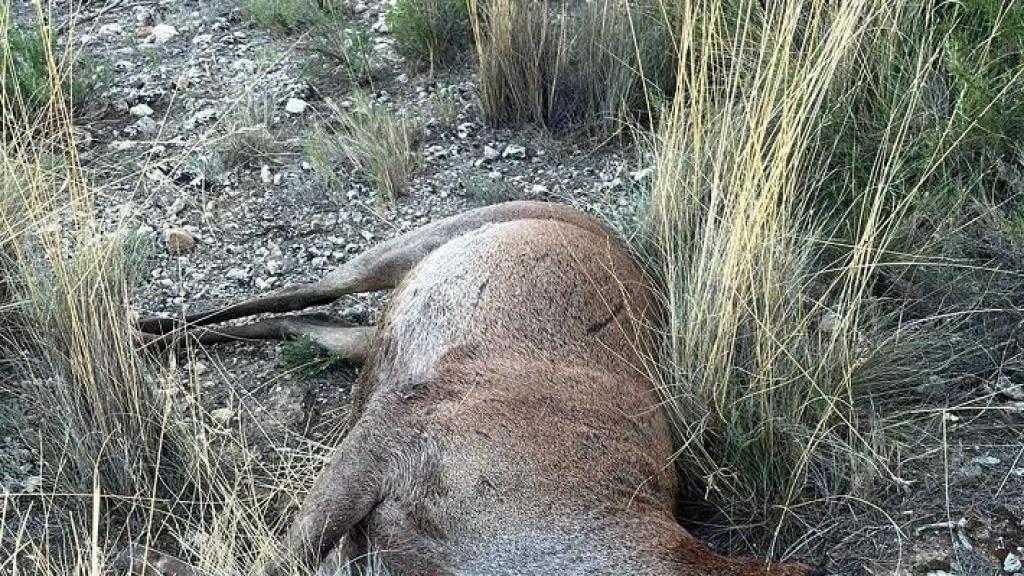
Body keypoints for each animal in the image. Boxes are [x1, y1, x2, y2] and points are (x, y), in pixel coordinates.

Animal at [123, 201, 821, 576]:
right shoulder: (400, 427)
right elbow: (274, 559)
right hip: (411, 246)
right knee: (304, 291)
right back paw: (144, 328)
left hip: (370, 342)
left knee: (307, 325)